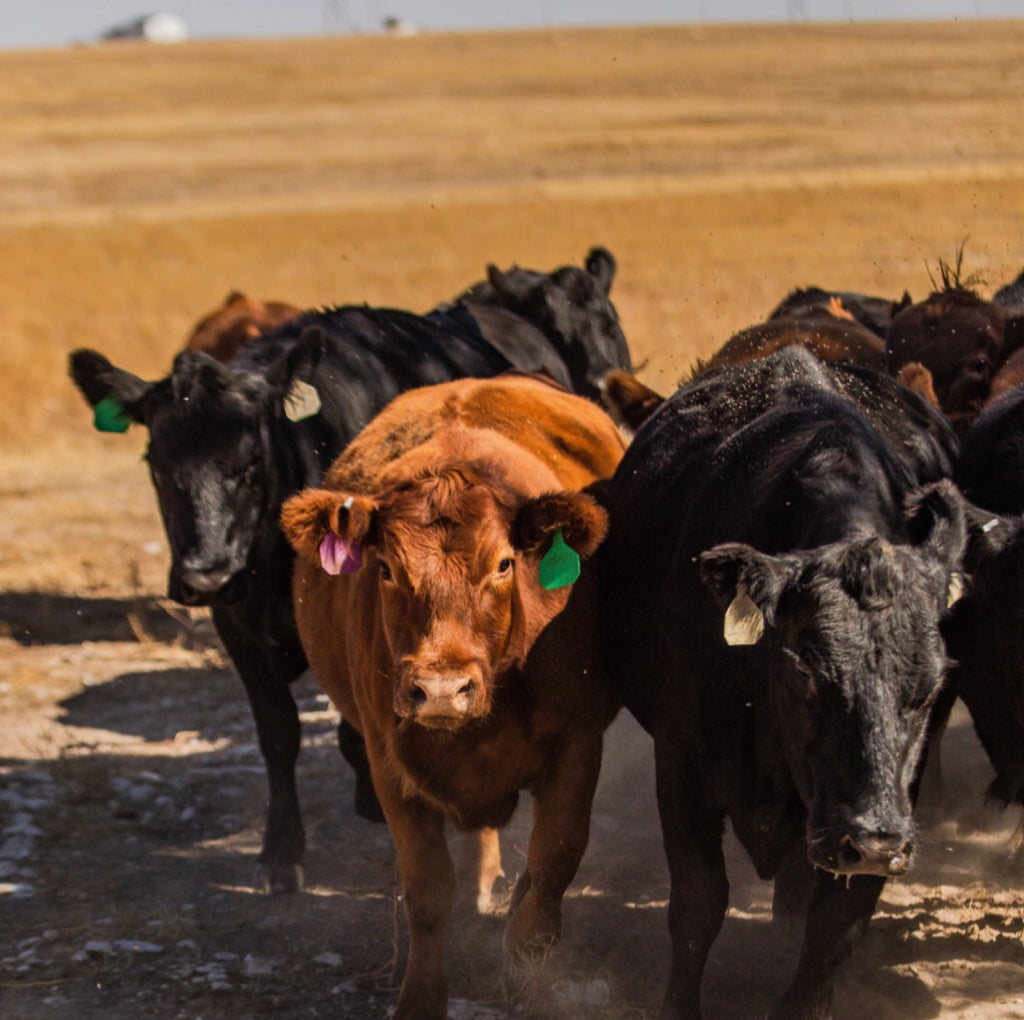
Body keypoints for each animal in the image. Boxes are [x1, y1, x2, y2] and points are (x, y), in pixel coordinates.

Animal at [68, 255, 630, 893]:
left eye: (249, 463)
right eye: (157, 465)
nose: (204, 574)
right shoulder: (241, 625)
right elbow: (278, 733)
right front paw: (280, 851)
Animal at [278, 374, 622, 1020]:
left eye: (505, 564)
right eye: (386, 569)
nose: (441, 690)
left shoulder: (578, 743)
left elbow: (554, 861)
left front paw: (525, 975)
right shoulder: (388, 763)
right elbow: (427, 890)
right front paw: (419, 994)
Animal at [598, 346, 962, 1015]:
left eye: (927, 690)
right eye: (807, 671)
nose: (876, 843)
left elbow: (835, 924)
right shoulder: (681, 760)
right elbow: (698, 902)